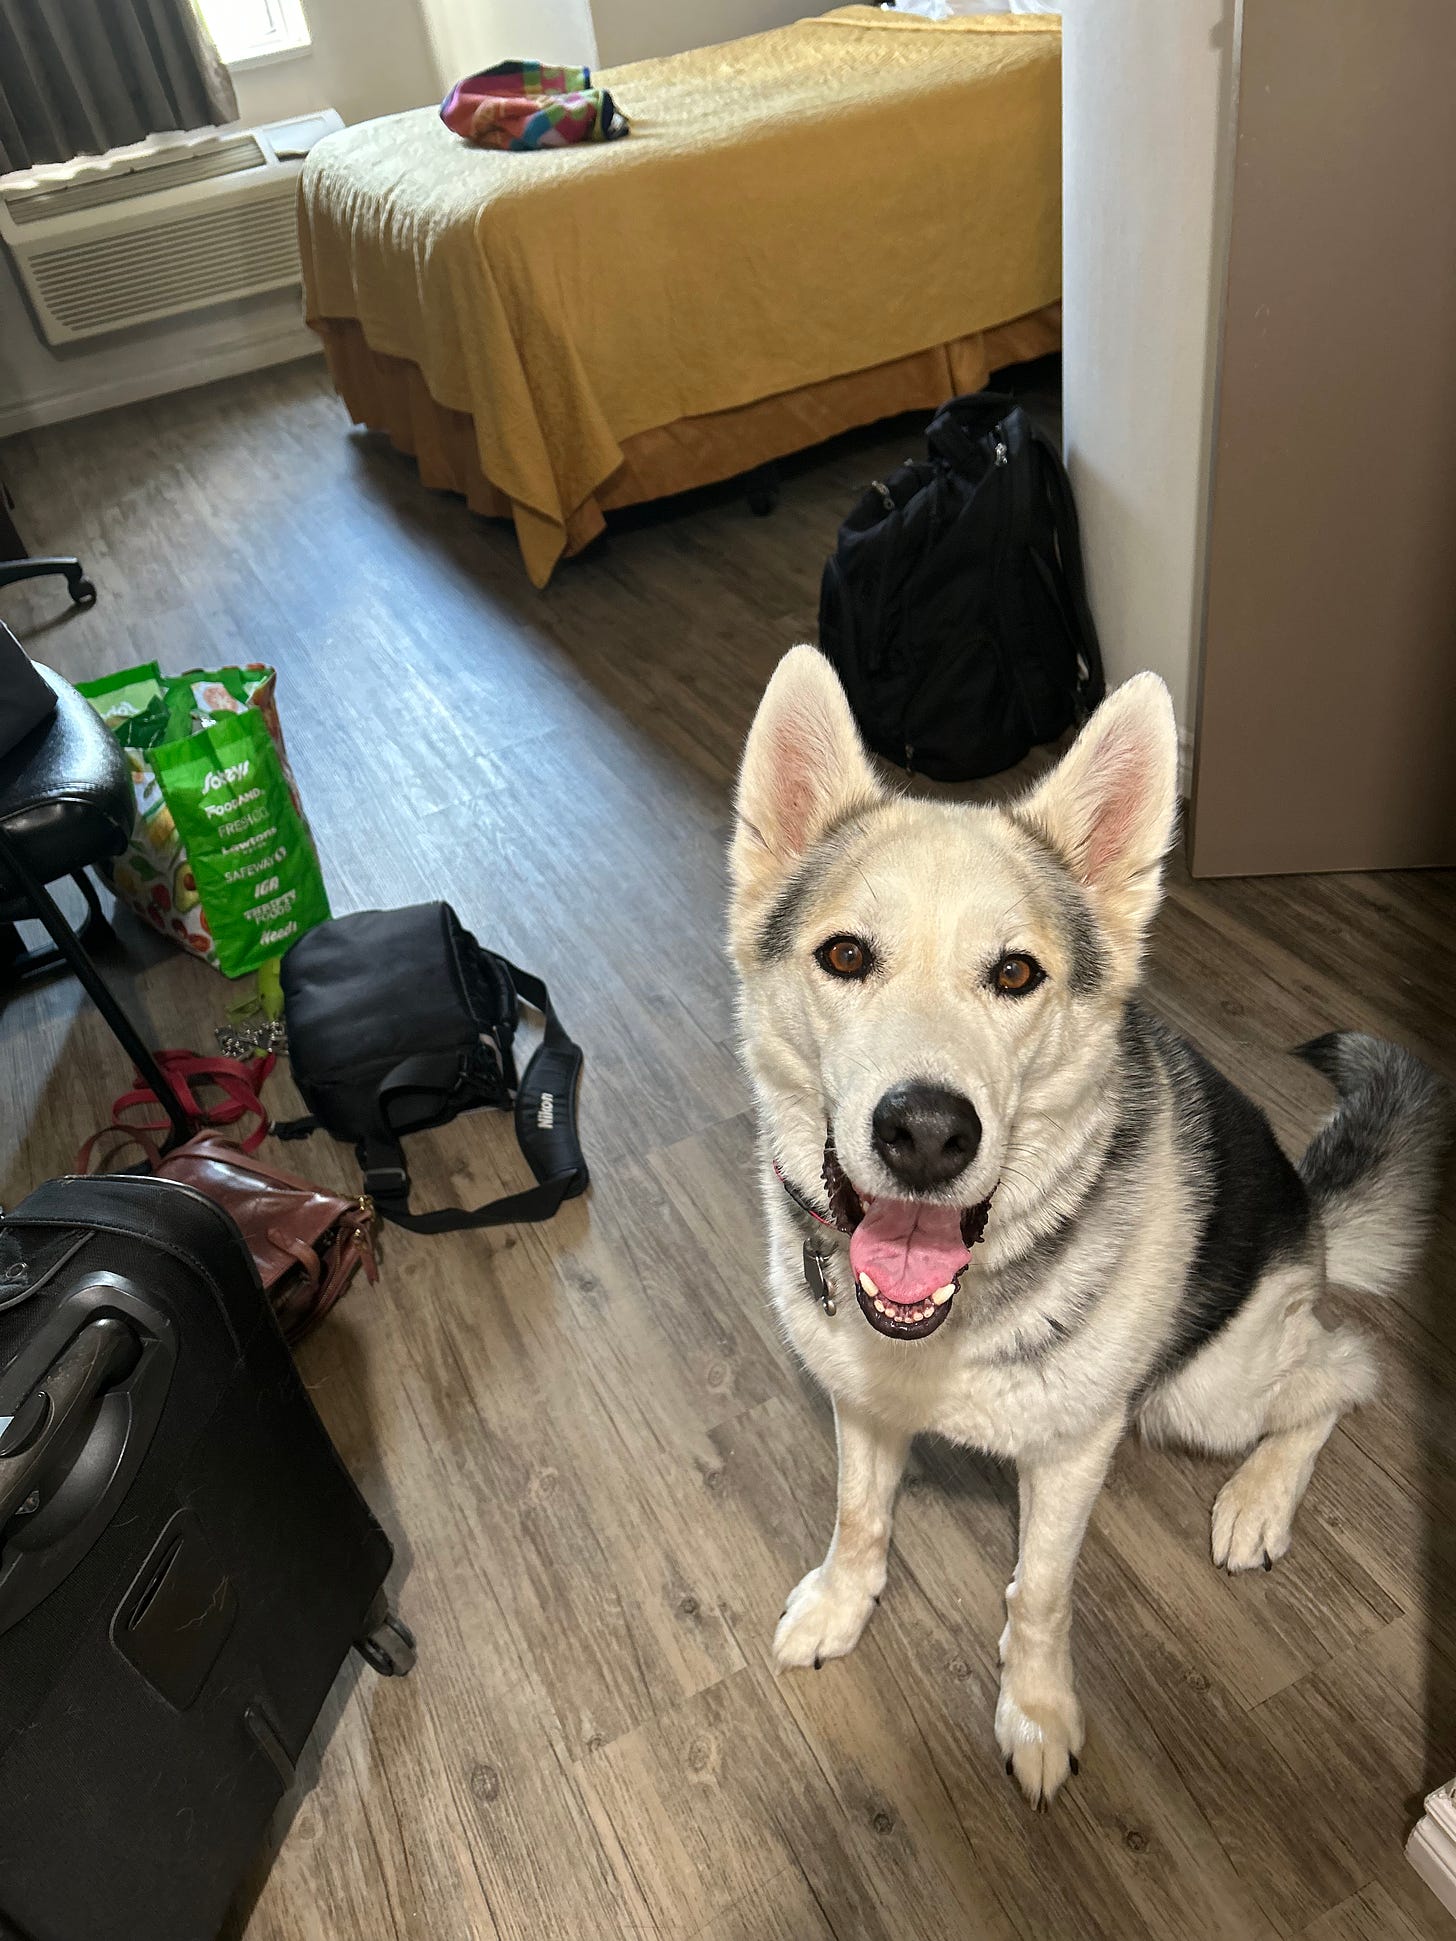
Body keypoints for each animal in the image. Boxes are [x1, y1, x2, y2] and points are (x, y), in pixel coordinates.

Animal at [729, 648, 1452, 1801]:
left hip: (1205, 1391)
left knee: (1343, 1371)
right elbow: (859, 1516)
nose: (925, 1133)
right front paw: (842, 1603)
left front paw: (1033, 1711)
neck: (950, 1318)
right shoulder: (862, 1407)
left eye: (1015, 973)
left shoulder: (1072, 1458)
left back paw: (1259, 1498)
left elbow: (1039, 1594)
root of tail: (1309, 1215)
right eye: (844, 956)